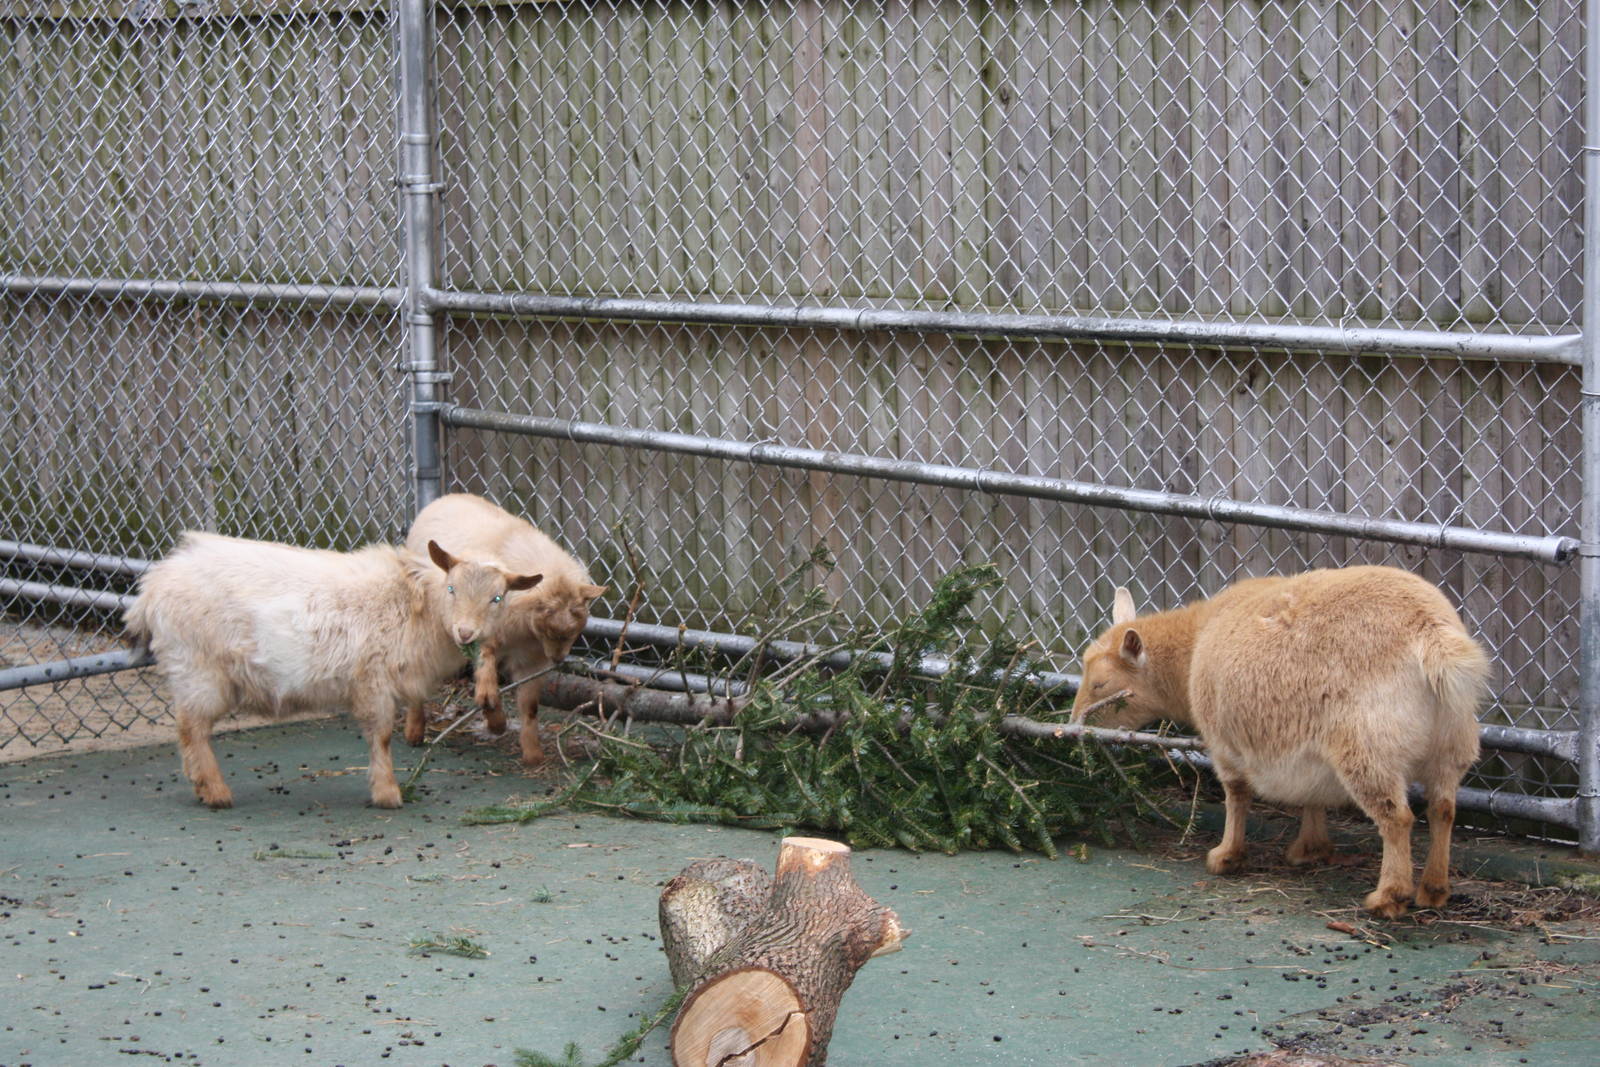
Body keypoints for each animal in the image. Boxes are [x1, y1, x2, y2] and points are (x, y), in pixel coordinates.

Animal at [124, 531, 541, 809]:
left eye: (498, 597)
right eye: (452, 588)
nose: (465, 632)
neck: (414, 602)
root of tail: (152, 588)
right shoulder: (373, 680)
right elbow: (381, 737)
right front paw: (388, 793)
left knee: (189, 729)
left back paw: (203, 787)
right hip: (198, 668)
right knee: (192, 728)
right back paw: (215, 792)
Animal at [404, 493, 606, 764]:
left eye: (574, 630)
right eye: (548, 627)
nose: (558, 658)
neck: (526, 632)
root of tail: (444, 497)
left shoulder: (533, 659)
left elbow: (529, 706)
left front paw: (533, 754)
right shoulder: (486, 641)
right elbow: (487, 688)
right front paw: (496, 723)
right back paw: (414, 731)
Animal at [1072, 566, 1487, 918]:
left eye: (1101, 685)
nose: (1074, 723)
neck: (1195, 643)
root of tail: (1430, 634)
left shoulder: (1224, 741)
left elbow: (1237, 794)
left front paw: (1226, 856)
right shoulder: (1304, 743)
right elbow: (1312, 795)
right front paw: (1309, 848)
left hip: (1368, 746)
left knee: (1397, 817)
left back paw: (1388, 897)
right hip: (1452, 742)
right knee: (1442, 809)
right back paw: (1433, 889)